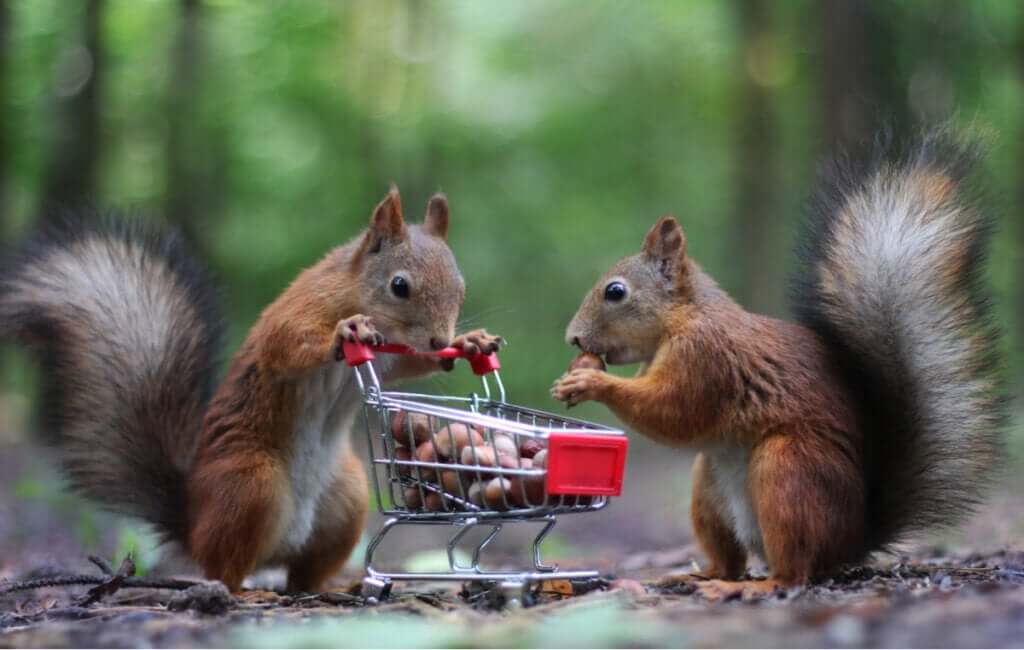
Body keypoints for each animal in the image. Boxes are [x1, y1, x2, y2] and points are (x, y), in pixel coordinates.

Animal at [2, 189, 501, 593]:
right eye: (399, 285)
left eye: (461, 286)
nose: (440, 338)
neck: (357, 293)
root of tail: (192, 522)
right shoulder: (298, 310)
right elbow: (288, 345)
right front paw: (346, 331)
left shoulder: (393, 358)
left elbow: (410, 365)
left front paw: (469, 343)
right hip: (249, 483)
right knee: (224, 569)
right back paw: (244, 593)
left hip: (347, 497)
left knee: (302, 577)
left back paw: (335, 586)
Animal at [557, 131, 1003, 601]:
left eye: (615, 292)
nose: (573, 337)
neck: (682, 320)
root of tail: (850, 542)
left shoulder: (706, 357)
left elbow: (676, 412)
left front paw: (591, 381)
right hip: (709, 489)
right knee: (731, 561)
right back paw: (697, 576)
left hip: (788, 473)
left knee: (795, 570)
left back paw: (754, 586)